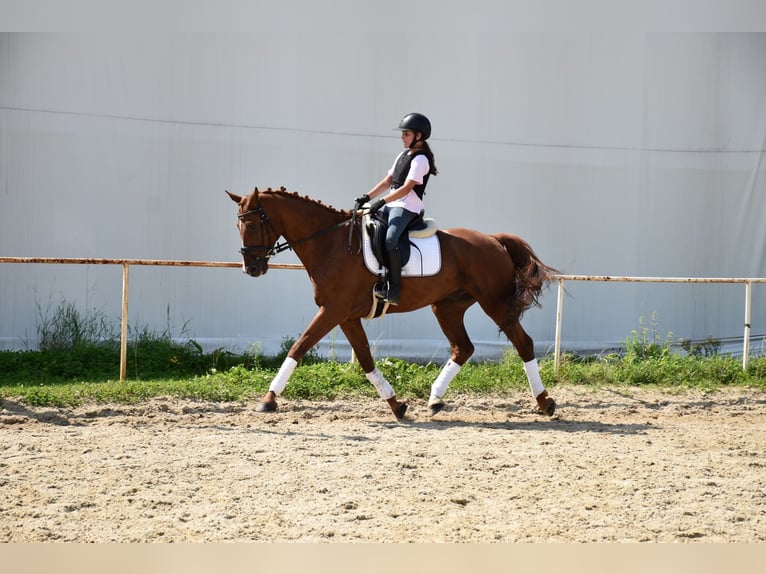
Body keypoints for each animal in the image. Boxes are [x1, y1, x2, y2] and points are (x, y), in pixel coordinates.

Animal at [228, 187, 560, 420]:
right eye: (238, 226)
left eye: (253, 224)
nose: (251, 268)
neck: (330, 244)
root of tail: (493, 239)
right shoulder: (345, 316)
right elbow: (365, 360)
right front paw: (396, 404)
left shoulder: (332, 311)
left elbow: (299, 347)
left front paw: (268, 400)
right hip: (447, 306)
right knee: (463, 348)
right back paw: (435, 399)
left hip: (494, 304)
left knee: (523, 343)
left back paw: (545, 402)